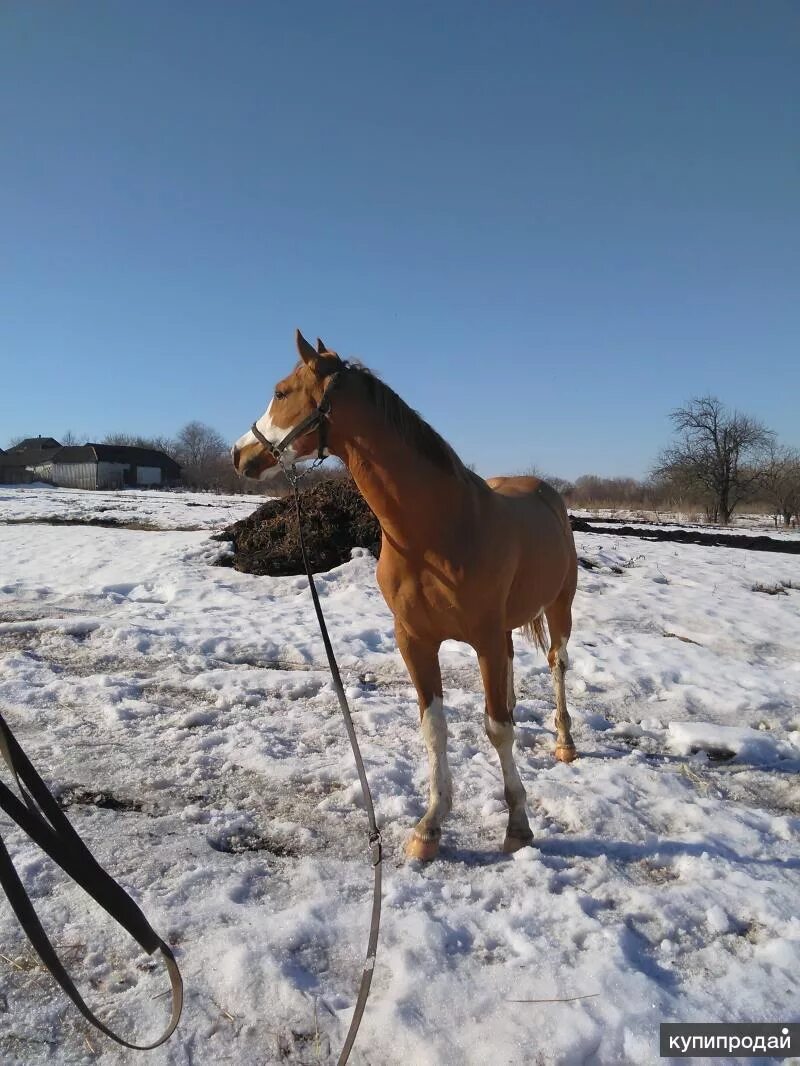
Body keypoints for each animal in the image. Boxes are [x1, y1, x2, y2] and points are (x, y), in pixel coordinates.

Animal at [231, 328, 576, 861]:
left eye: (282, 392)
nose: (240, 453)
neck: (436, 532)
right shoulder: (415, 639)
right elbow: (435, 729)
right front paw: (430, 827)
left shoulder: (484, 640)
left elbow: (497, 730)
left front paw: (518, 825)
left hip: (559, 608)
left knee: (558, 665)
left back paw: (564, 741)